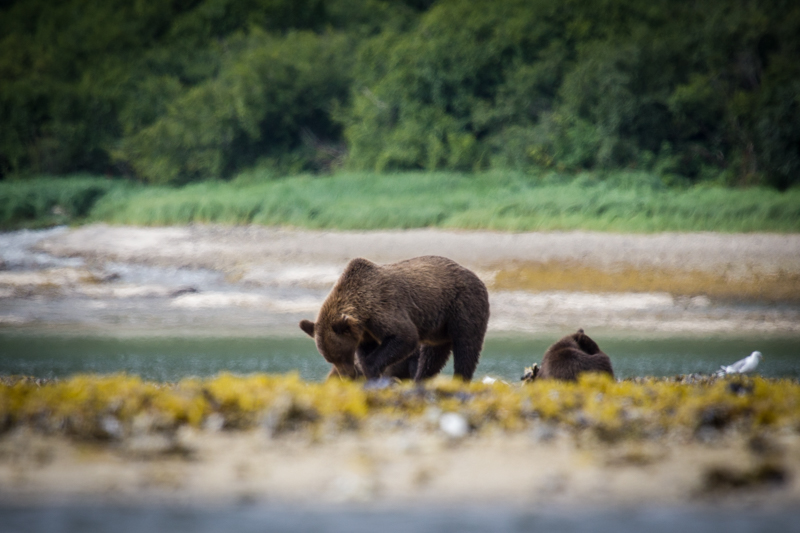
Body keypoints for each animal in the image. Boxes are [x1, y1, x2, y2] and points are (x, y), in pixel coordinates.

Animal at [298, 256, 488, 380]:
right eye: (329, 358)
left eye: (342, 355)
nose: (347, 376)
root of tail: (477, 277)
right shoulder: (365, 332)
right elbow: (367, 350)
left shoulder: (384, 308)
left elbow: (405, 337)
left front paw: (371, 369)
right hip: (440, 328)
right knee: (433, 355)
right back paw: (421, 379)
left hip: (463, 306)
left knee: (466, 347)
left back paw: (460, 378)